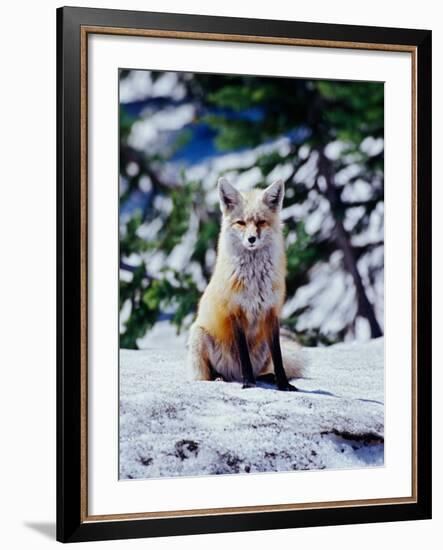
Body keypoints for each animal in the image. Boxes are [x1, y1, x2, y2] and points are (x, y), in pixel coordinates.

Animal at [186, 179, 304, 390]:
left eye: (261, 222)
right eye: (241, 223)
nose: (251, 239)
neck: (255, 280)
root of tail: (233, 375)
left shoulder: (271, 312)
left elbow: (279, 358)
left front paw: (283, 385)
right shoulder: (235, 312)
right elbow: (244, 356)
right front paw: (249, 383)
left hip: (263, 346)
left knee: (264, 370)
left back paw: (267, 377)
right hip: (199, 335)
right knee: (208, 375)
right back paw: (221, 377)